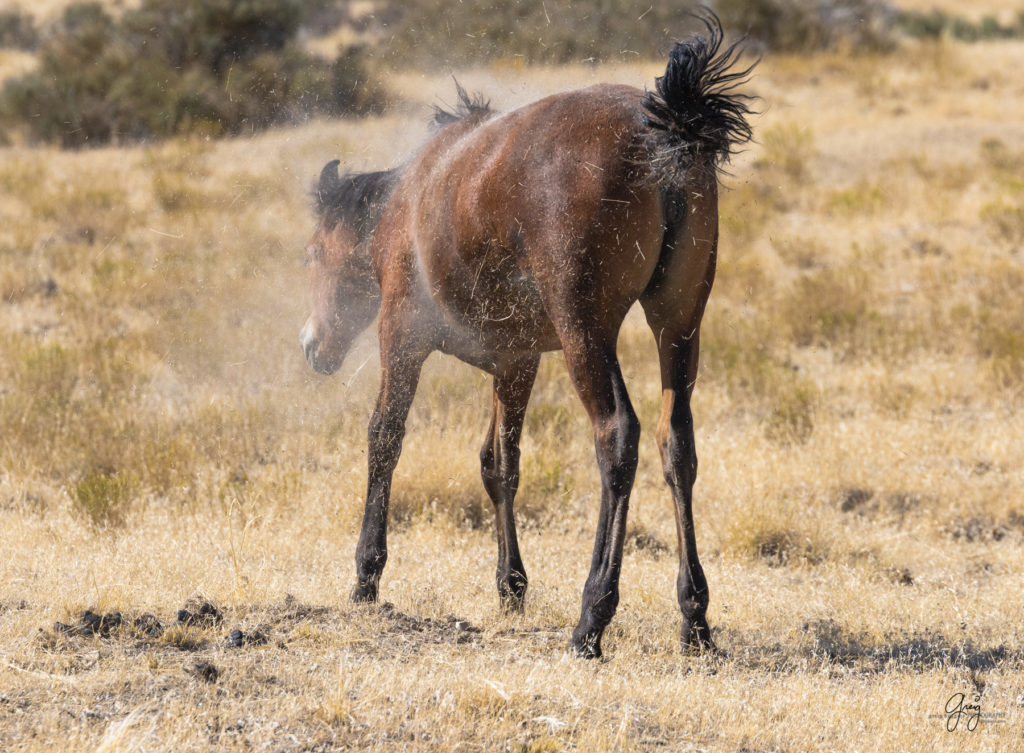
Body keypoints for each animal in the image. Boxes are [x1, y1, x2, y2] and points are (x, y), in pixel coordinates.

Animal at [296, 14, 753, 655]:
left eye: (313, 253)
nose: (311, 344)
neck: (407, 203)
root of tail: (662, 131)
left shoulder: (401, 338)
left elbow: (384, 439)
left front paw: (366, 575)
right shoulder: (517, 362)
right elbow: (499, 464)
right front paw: (511, 584)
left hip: (587, 332)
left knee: (618, 438)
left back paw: (592, 616)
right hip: (678, 325)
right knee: (676, 444)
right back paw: (695, 619)